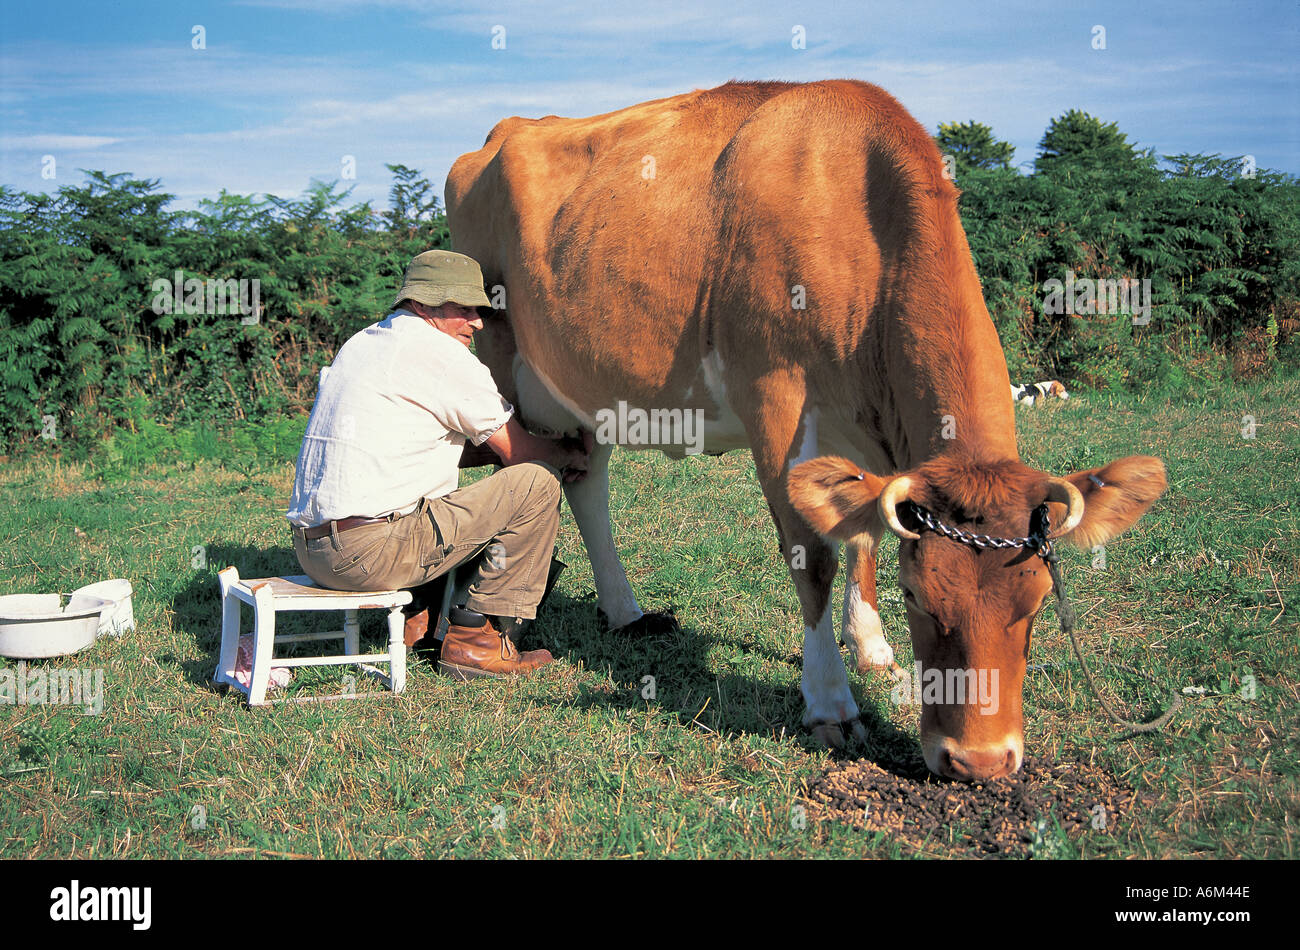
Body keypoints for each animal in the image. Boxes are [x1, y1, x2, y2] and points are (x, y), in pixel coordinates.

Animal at [445, 80, 1167, 781]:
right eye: (918, 597)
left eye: (1039, 603)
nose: (982, 762)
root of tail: (505, 130)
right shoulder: (777, 400)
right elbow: (811, 554)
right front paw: (830, 702)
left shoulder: (868, 433)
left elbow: (864, 529)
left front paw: (870, 642)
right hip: (494, 357)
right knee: (529, 470)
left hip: (578, 382)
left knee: (584, 477)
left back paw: (625, 611)